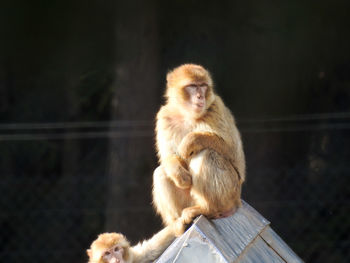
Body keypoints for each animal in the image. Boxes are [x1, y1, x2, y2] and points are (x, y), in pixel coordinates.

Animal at [153, 63, 246, 235]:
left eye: (203, 86)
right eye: (192, 86)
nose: (200, 96)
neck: (187, 114)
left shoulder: (216, 106)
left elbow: (232, 150)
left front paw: (191, 141)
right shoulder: (164, 118)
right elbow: (168, 157)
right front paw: (178, 173)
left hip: (231, 192)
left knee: (207, 154)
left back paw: (209, 209)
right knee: (161, 173)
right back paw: (178, 225)